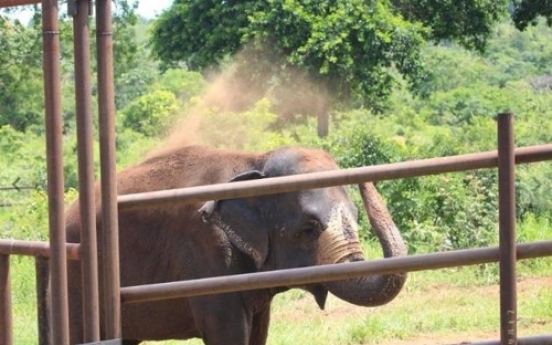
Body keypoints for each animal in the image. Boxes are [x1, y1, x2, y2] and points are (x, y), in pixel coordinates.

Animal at [56, 144, 408, 344]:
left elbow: (258, 332)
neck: (254, 161)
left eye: (356, 216)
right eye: (308, 229)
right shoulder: (205, 251)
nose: (365, 178)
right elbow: (228, 331)